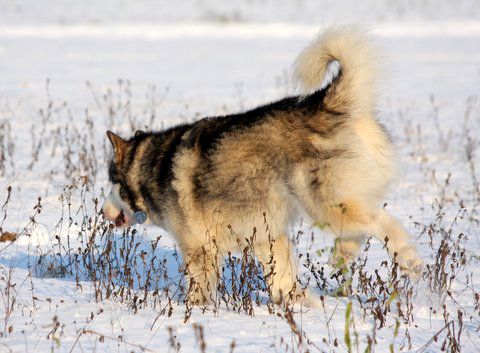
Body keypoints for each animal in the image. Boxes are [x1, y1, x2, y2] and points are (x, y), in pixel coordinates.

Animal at [102, 25, 424, 306]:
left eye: (112, 183)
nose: (103, 212)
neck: (151, 167)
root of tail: (324, 104)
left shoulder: (200, 248)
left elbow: (200, 289)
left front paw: (194, 312)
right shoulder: (267, 235)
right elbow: (283, 282)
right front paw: (299, 308)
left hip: (321, 201)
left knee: (381, 221)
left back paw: (408, 261)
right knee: (360, 228)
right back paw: (342, 254)